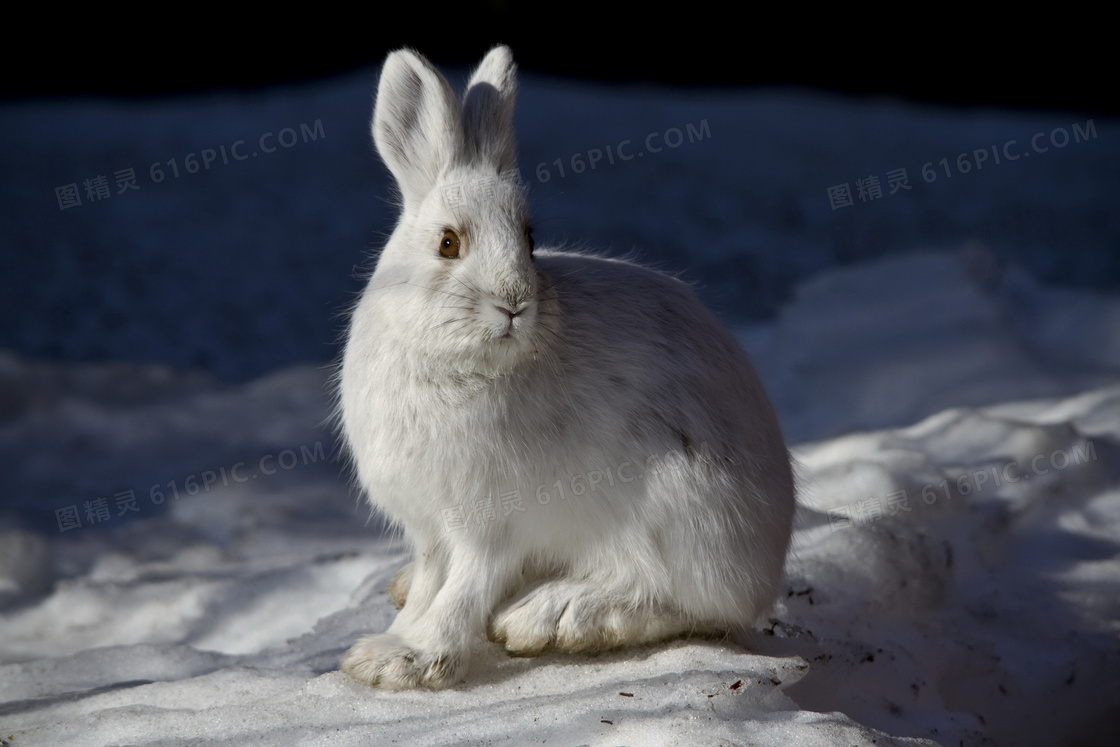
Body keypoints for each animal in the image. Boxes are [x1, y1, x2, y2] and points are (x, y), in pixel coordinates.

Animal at [336, 45, 792, 689]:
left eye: (530, 240)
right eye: (448, 243)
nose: (514, 302)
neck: (466, 362)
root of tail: (768, 560)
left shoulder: (491, 526)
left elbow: (463, 589)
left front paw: (412, 659)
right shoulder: (430, 529)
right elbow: (430, 582)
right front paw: (384, 647)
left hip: (679, 509)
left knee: (678, 601)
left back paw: (554, 615)